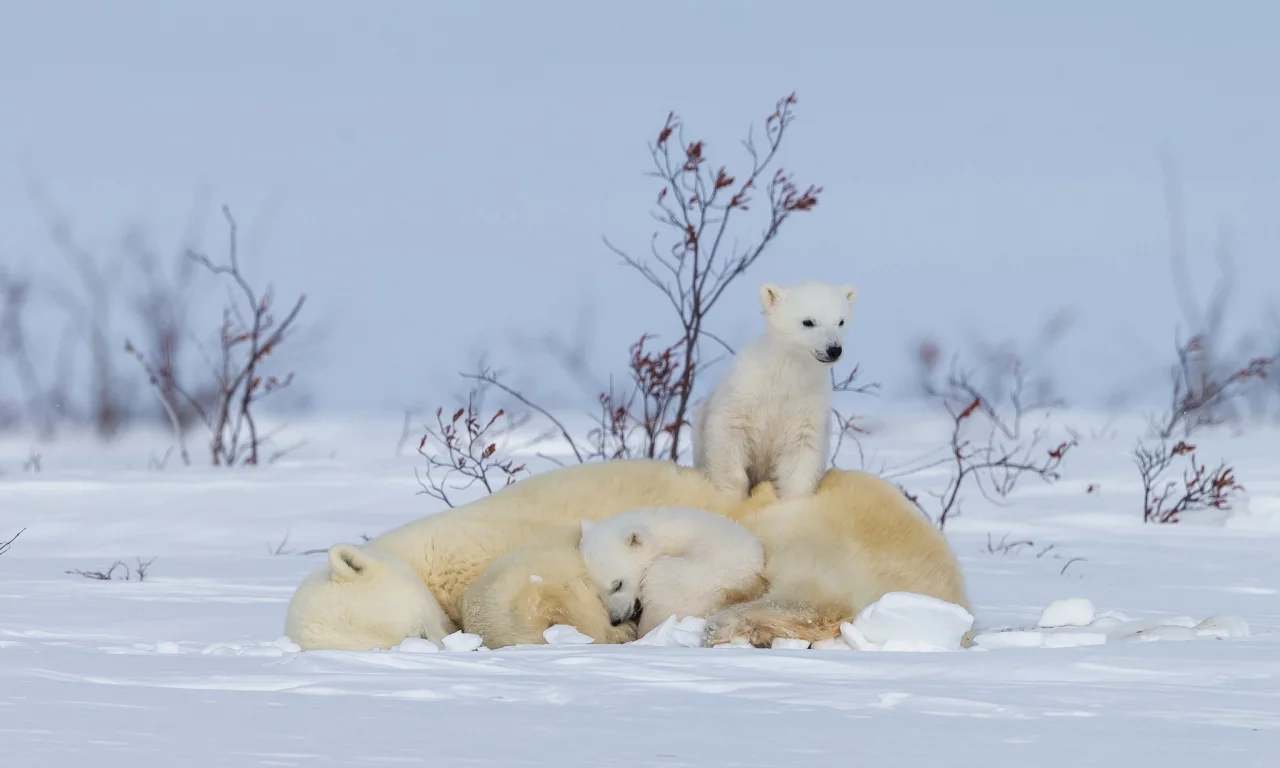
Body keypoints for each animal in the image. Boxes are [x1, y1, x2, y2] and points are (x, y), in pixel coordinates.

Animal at [696, 279, 855, 501]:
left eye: (840, 321)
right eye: (808, 322)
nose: (834, 349)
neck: (785, 375)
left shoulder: (807, 405)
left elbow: (800, 456)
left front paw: (793, 501)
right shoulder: (743, 394)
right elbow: (729, 438)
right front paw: (732, 496)